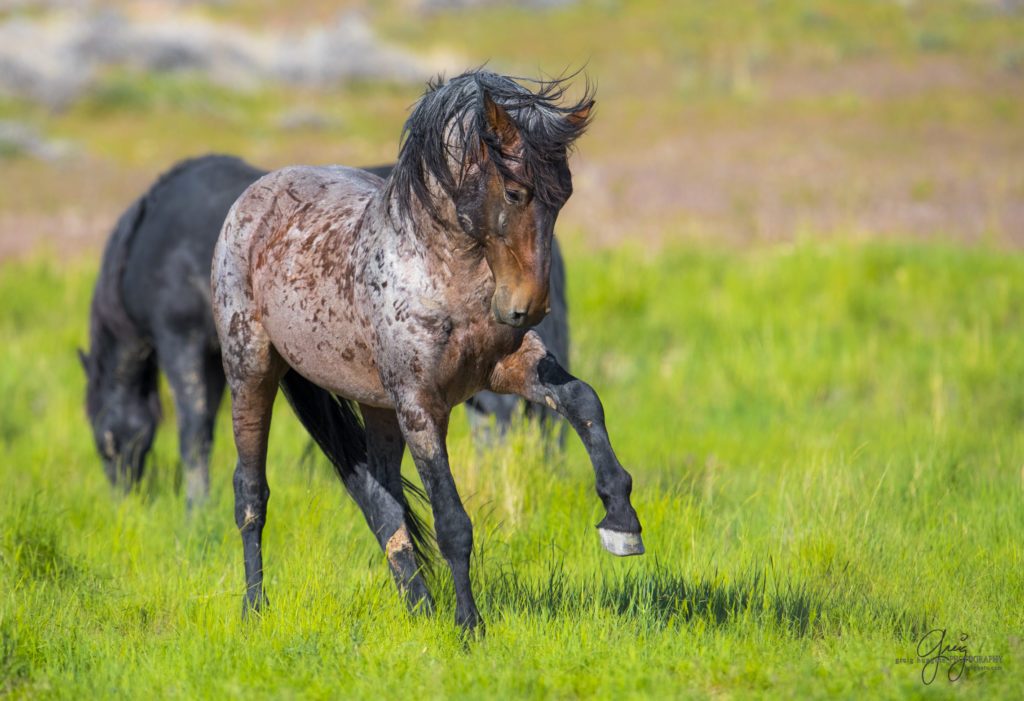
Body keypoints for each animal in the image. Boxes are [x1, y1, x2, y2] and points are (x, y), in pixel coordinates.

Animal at [80, 153, 573, 505]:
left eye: (105, 441)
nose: (124, 498)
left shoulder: (181, 342)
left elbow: (194, 433)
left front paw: (196, 509)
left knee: (504, 417)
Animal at [209, 68, 638, 630]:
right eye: (516, 192)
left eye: (563, 195)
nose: (528, 308)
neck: (443, 276)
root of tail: (250, 199)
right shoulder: (420, 405)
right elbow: (452, 521)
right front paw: (470, 626)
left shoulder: (508, 367)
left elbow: (583, 399)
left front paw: (621, 521)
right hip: (253, 372)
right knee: (250, 493)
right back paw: (255, 607)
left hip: (375, 405)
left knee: (381, 499)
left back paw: (418, 606)